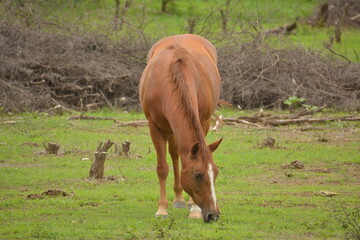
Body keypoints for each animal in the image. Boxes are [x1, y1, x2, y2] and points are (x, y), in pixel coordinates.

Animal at [140, 33, 222, 223]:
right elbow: (162, 168)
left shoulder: (203, 122)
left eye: (215, 173)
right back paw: (178, 199)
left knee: (176, 152)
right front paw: (162, 209)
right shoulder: (155, 127)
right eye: (197, 175)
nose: (213, 215)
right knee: (174, 153)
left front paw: (195, 209)